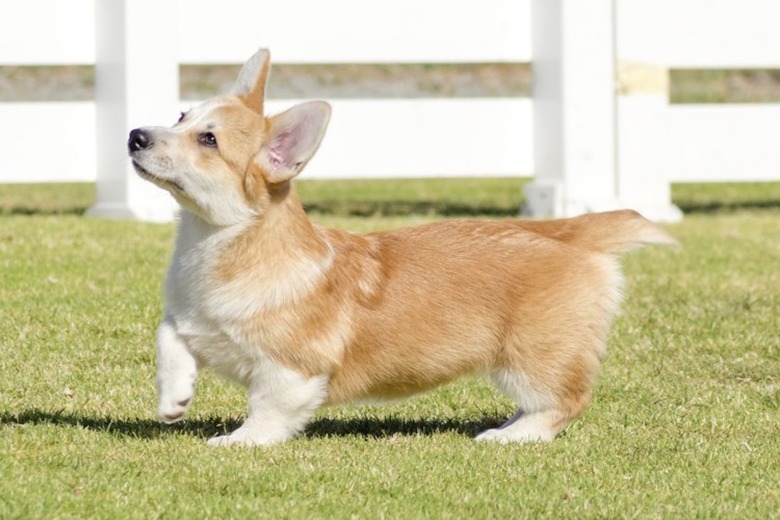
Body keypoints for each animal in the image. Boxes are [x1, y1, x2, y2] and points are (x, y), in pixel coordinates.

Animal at [129, 49, 676, 446]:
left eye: (208, 140)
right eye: (181, 115)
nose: (135, 134)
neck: (215, 240)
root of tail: (568, 232)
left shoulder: (293, 368)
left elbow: (269, 409)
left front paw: (239, 441)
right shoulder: (187, 321)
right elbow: (169, 340)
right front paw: (174, 400)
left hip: (531, 354)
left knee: (564, 401)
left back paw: (510, 436)